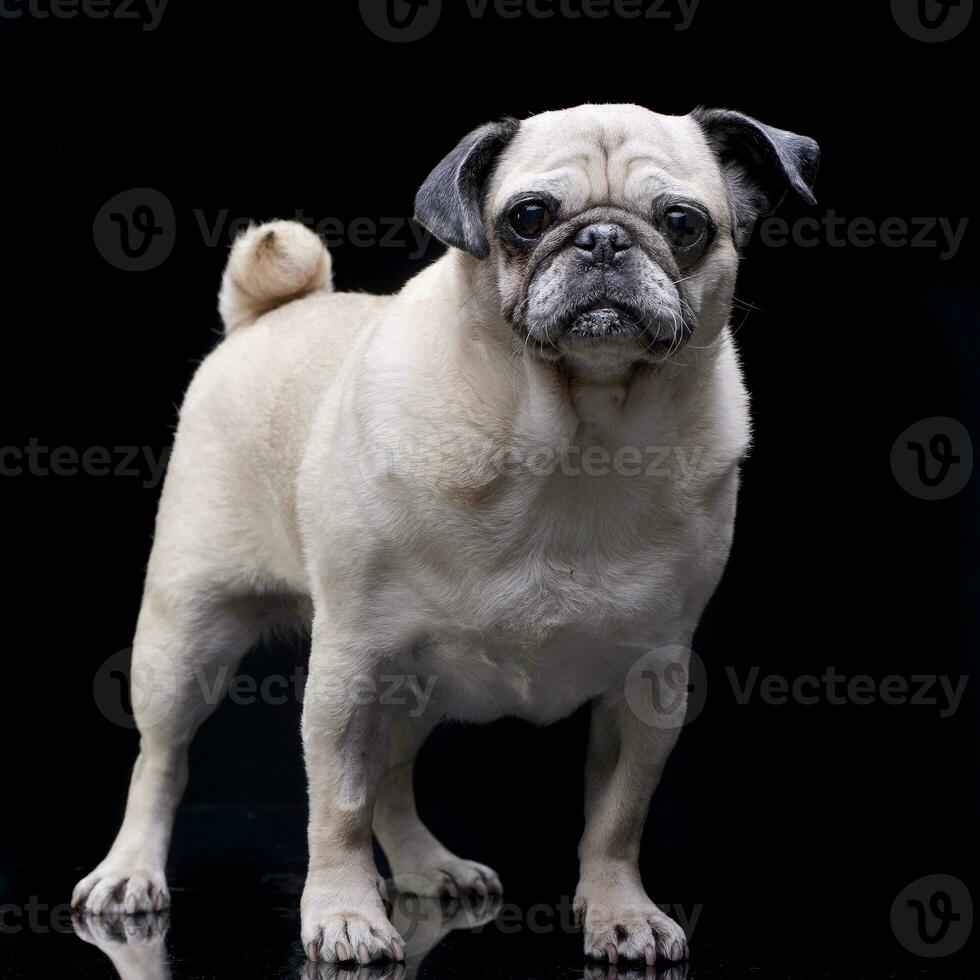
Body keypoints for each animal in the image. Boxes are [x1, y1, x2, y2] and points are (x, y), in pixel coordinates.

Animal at [71, 105, 820, 964]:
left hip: (414, 685)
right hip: (187, 636)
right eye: (528, 218)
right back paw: (130, 873)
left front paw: (620, 911)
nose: (602, 239)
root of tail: (267, 316)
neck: (578, 439)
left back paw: (429, 866)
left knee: (393, 780)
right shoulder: (348, 667)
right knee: (162, 760)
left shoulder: (651, 678)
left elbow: (616, 818)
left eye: (683, 224)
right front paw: (343, 914)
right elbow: (336, 807)